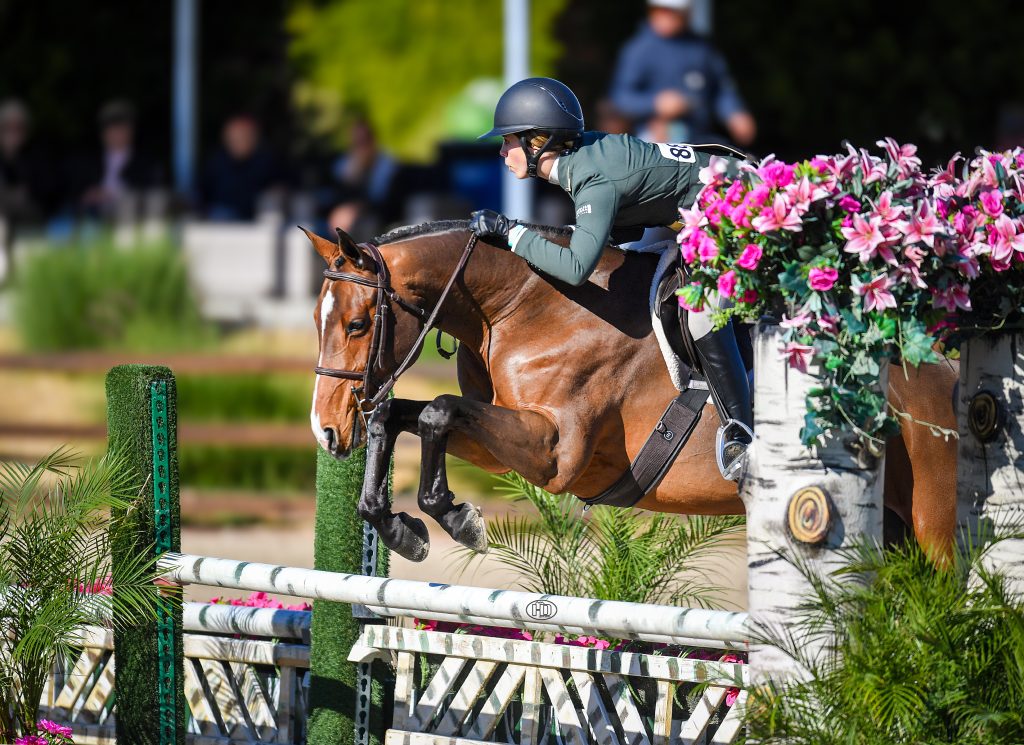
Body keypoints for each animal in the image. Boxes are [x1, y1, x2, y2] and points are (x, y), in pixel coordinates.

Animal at [306, 220, 958, 563]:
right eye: (318, 320)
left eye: (358, 325)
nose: (327, 431)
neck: (518, 304)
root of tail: (946, 369)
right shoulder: (499, 440)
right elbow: (399, 416)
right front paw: (399, 528)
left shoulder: (555, 454)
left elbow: (437, 412)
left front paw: (457, 518)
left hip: (935, 522)